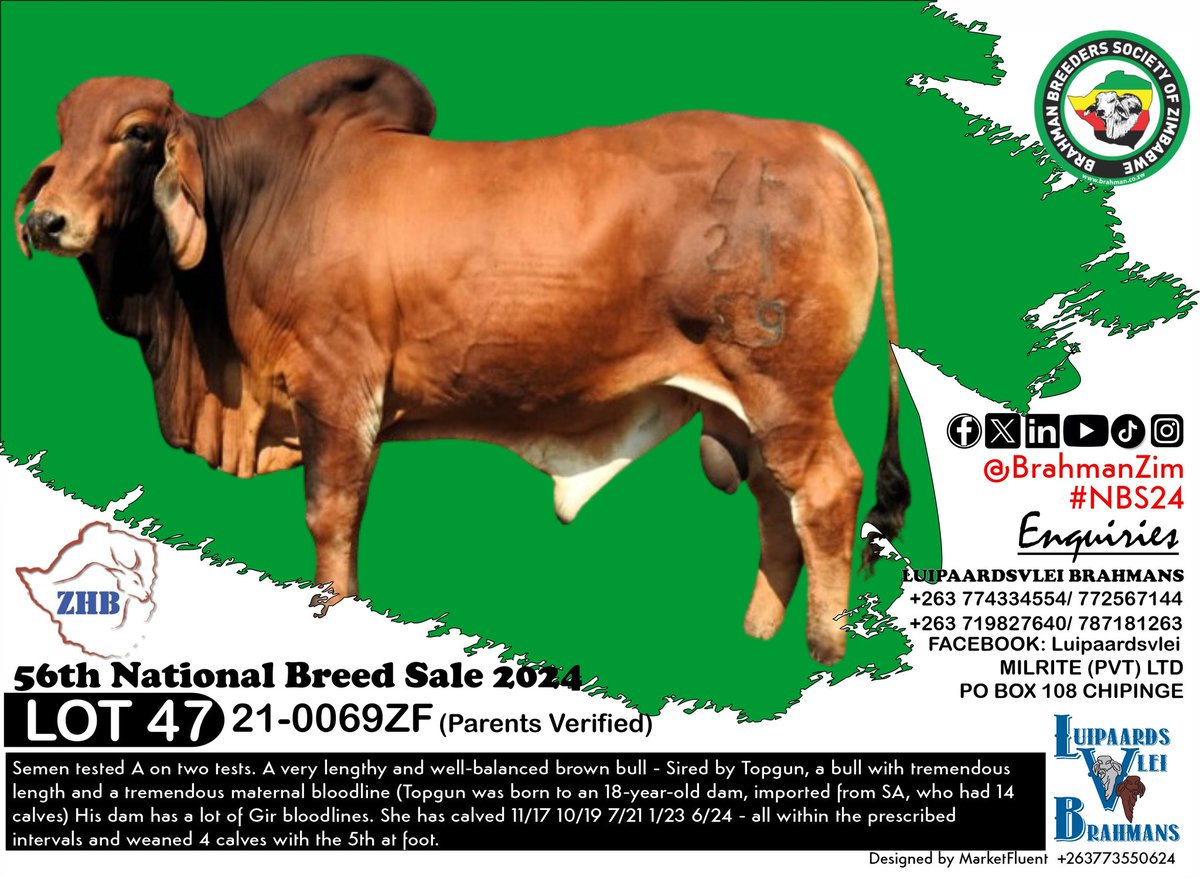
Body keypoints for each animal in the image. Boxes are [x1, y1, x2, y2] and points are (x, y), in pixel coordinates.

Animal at [15, 56, 909, 665]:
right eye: (63, 132)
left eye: (136, 135)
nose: (48, 221)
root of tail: (813, 140)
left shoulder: (338, 390)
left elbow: (330, 516)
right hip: (743, 407)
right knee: (774, 507)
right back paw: (755, 637)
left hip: (788, 390)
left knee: (826, 492)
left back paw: (823, 652)